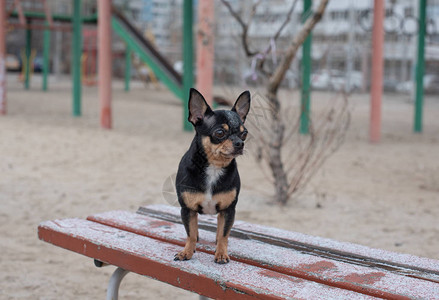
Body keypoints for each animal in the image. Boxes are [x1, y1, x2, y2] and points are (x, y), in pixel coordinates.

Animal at [174, 88, 251, 264]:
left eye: (244, 134)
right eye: (220, 133)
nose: (240, 143)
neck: (214, 167)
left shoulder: (228, 211)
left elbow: (223, 234)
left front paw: (221, 253)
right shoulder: (187, 210)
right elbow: (190, 234)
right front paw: (187, 252)